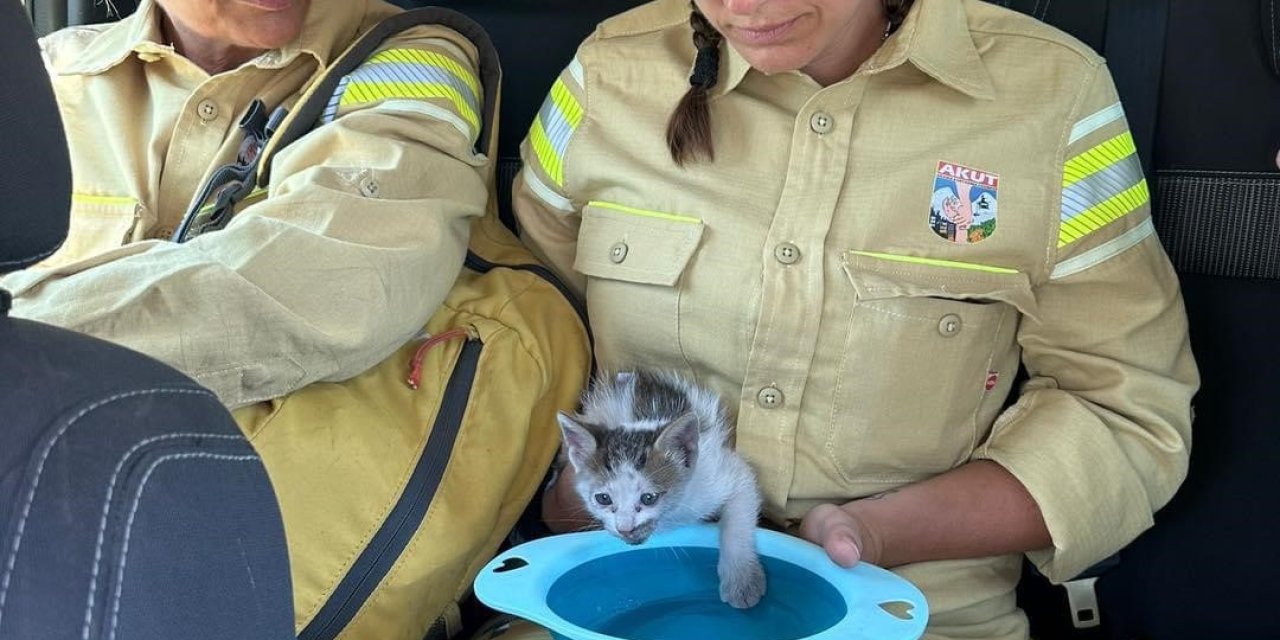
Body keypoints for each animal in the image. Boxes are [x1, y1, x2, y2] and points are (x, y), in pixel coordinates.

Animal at [555, 368, 762, 606]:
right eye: (603, 498)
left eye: (649, 498)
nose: (625, 529)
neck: (672, 514)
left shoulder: (721, 473)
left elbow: (738, 518)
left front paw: (742, 582)